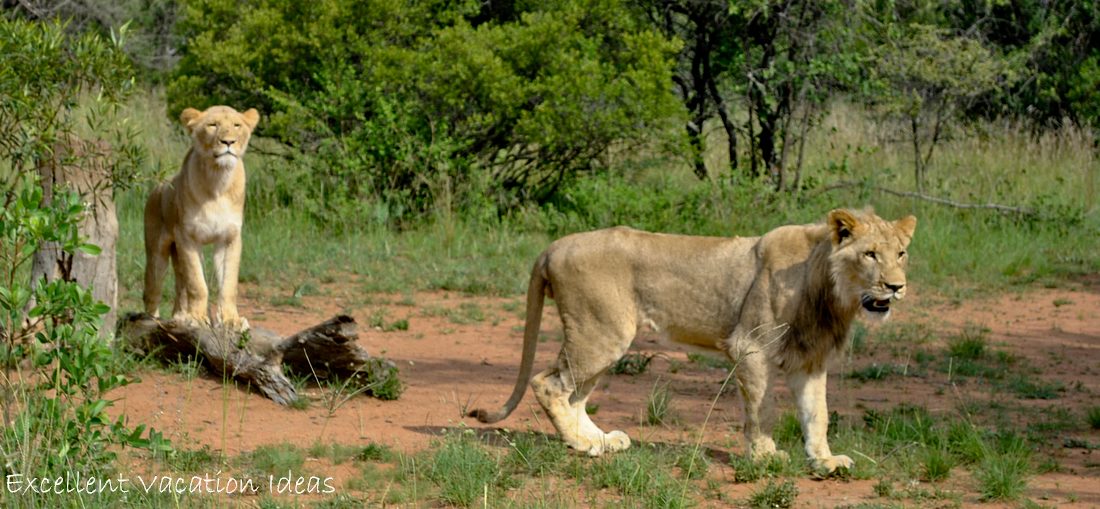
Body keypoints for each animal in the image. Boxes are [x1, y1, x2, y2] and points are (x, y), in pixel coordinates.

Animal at [141, 107, 259, 329]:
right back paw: (150, 320)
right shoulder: (187, 236)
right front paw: (196, 318)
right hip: (157, 255)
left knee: (180, 285)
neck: (218, 181)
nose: (228, 142)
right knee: (152, 290)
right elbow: (197, 283)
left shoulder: (230, 238)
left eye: (237, 125)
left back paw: (180, 316)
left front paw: (231, 320)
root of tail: (159, 185)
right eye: (212, 125)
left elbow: (228, 284)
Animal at [468, 206, 915, 474]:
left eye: (902, 253)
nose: (897, 287)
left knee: (574, 394)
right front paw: (764, 455)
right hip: (601, 332)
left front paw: (824, 462)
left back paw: (601, 441)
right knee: (549, 384)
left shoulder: (810, 361)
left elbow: (816, 414)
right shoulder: (750, 346)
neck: (829, 291)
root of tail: (553, 246)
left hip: (603, 337)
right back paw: (582, 445)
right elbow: (762, 409)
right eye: (870, 254)